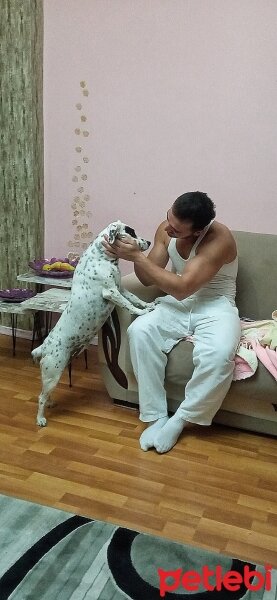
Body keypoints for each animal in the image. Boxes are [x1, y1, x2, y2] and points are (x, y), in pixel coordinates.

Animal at [31, 221, 155, 426]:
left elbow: (135, 298)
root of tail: (44, 346)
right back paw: (40, 419)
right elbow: (129, 305)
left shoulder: (120, 289)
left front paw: (148, 305)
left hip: (55, 372)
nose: (149, 242)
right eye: (131, 232)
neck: (103, 256)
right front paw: (141, 312)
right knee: (40, 396)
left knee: (45, 394)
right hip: (53, 372)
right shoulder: (112, 292)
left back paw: (50, 404)